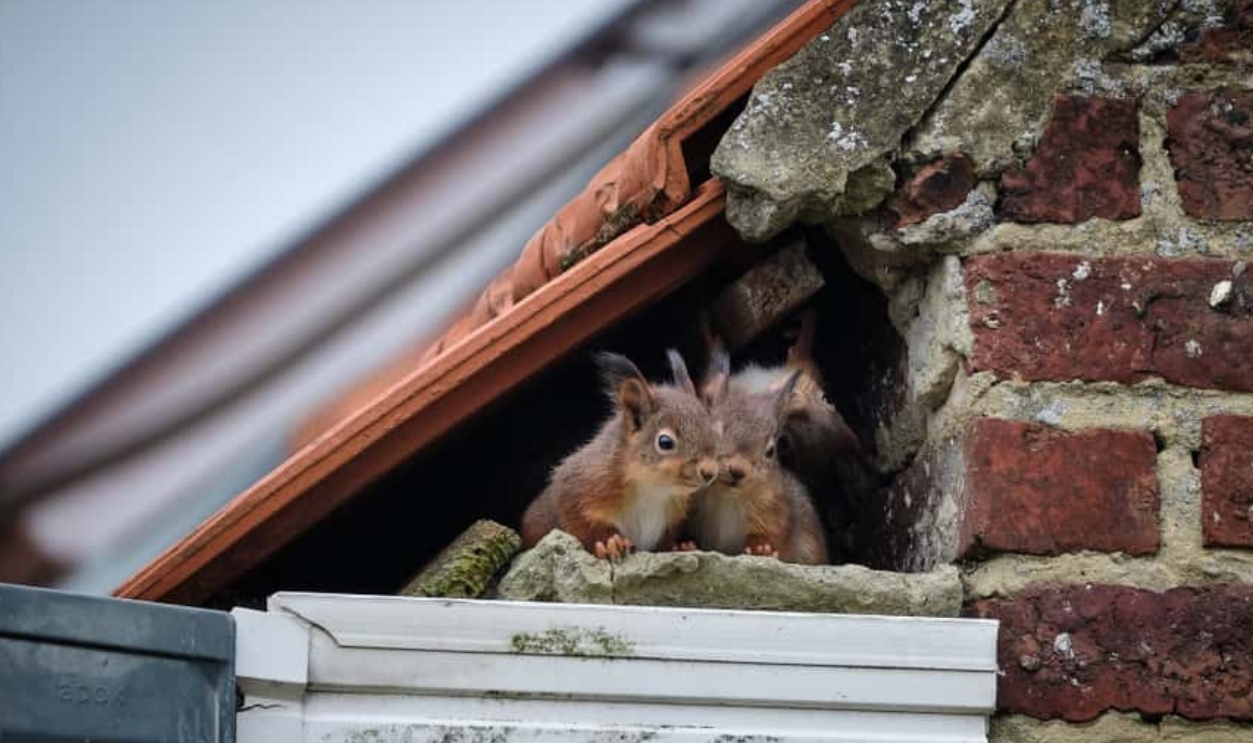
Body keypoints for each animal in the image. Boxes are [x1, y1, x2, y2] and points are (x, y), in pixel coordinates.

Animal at [520, 349, 719, 560]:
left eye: (713, 431)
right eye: (665, 442)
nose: (710, 472)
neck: (653, 489)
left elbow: (665, 542)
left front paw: (680, 547)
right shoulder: (579, 486)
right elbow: (578, 521)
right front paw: (609, 543)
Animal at [683, 355, 829, 564]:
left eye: (771, 450)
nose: (737, 471)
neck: (726, 498)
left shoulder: (774, 509)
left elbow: (772, 535)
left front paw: (760, 548)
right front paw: (684, 545)